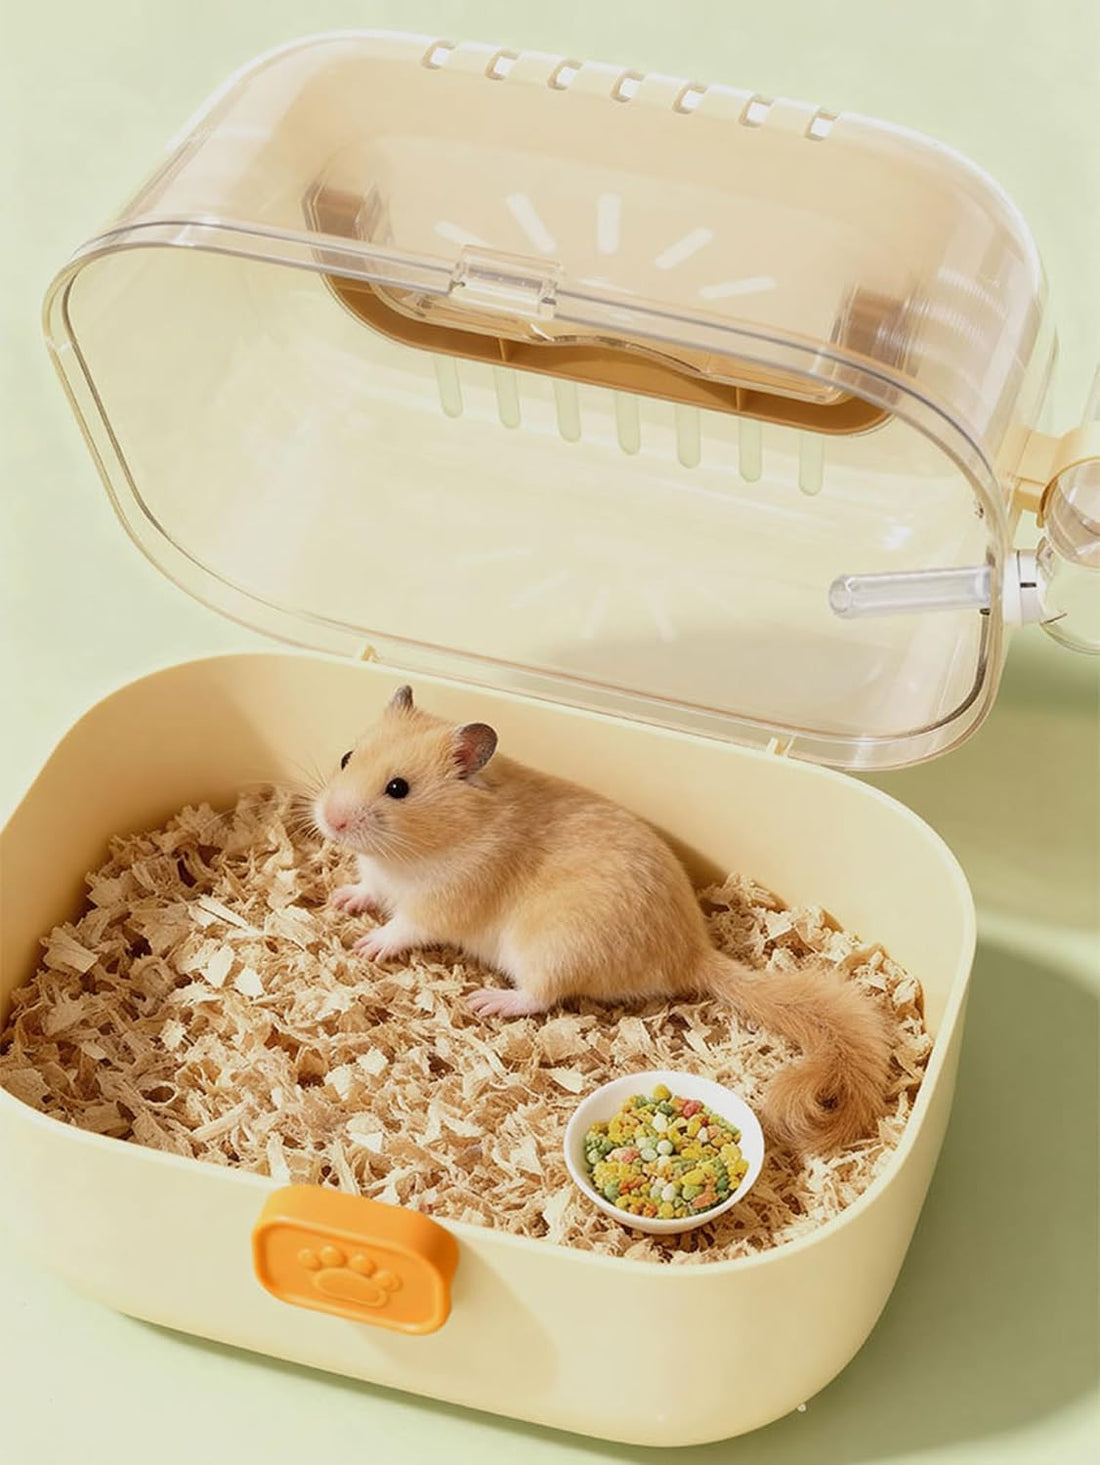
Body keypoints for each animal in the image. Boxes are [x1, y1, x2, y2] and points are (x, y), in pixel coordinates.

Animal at [315, 685, 892, 1153]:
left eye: (398, 789)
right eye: (344, 757)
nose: (330, 820)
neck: (414, 850)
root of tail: (694, 955)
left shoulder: (439, 905)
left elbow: (402, 929)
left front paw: (366, 946)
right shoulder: (379, 879)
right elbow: (367, 890)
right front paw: (339, 900)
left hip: (547, 950)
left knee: (539, 997)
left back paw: (487, 1001)